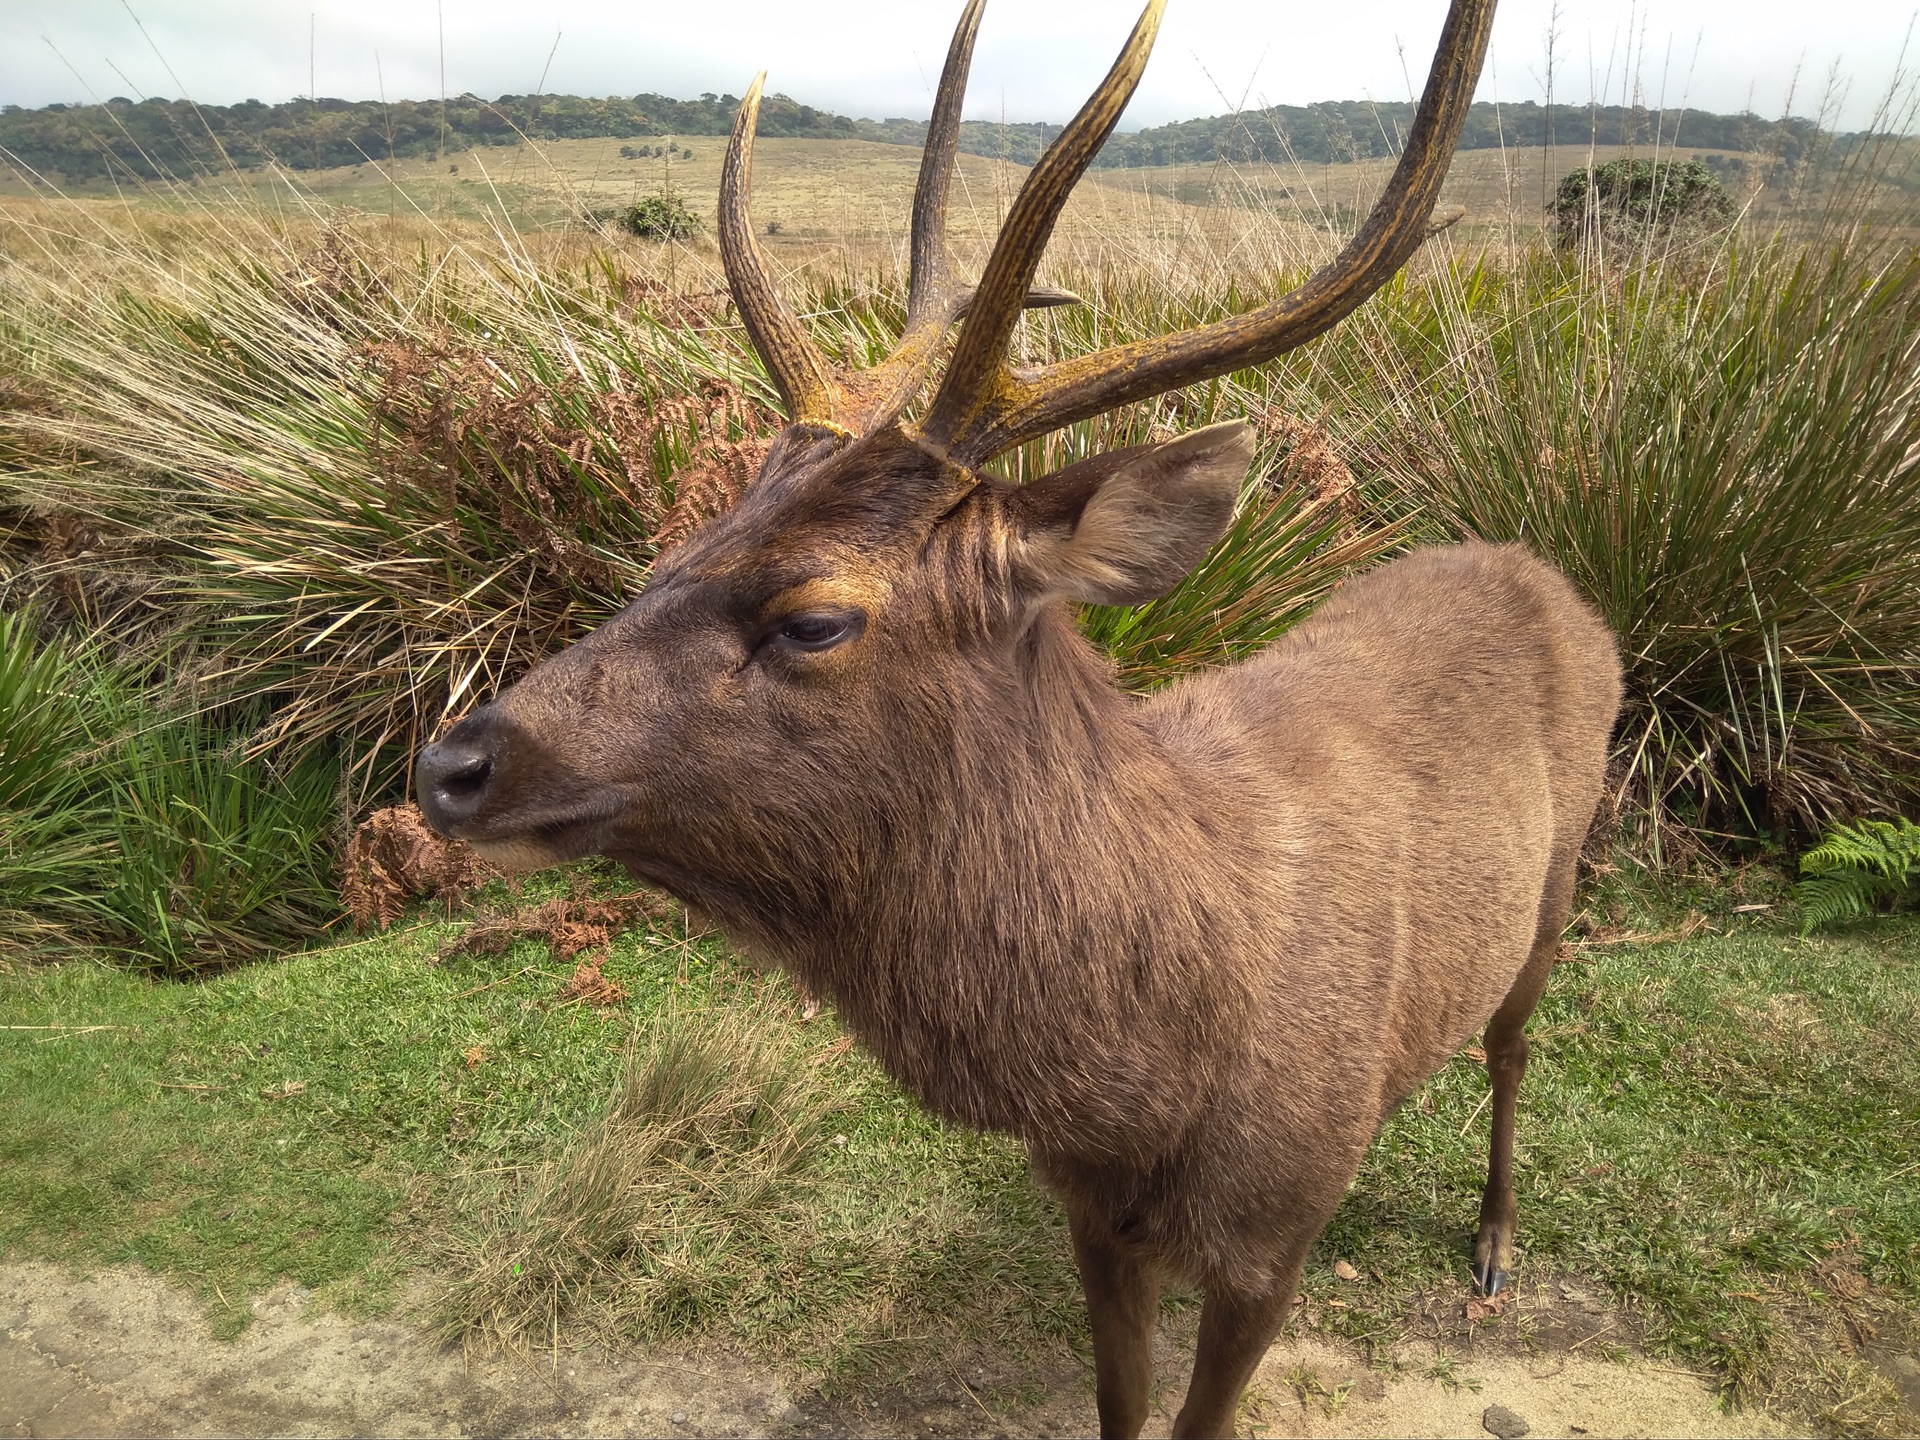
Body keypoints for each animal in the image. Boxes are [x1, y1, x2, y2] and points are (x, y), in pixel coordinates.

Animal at [416, 0, 1620, 1436]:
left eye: (814, 618)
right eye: (671, 551)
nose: (452, 763)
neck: (1150, 1082)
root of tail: (1541, 567)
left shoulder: (1274, 1238)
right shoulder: (1093, 1222)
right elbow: (1117, 1408)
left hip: (1559, 877)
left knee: (1515, 1043)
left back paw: (1495, 1243)